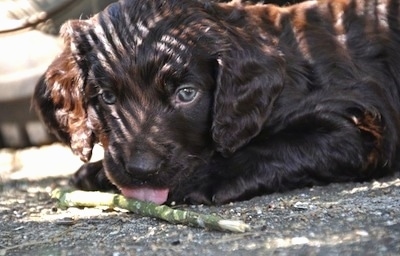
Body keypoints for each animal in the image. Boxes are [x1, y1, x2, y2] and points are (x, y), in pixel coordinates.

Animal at [32, 0, 400, 204]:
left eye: (186, 94)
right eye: (106, 97)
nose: (141, 171)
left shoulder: (358, 125)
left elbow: (281, 145)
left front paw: (207, 178)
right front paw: (95, 172)